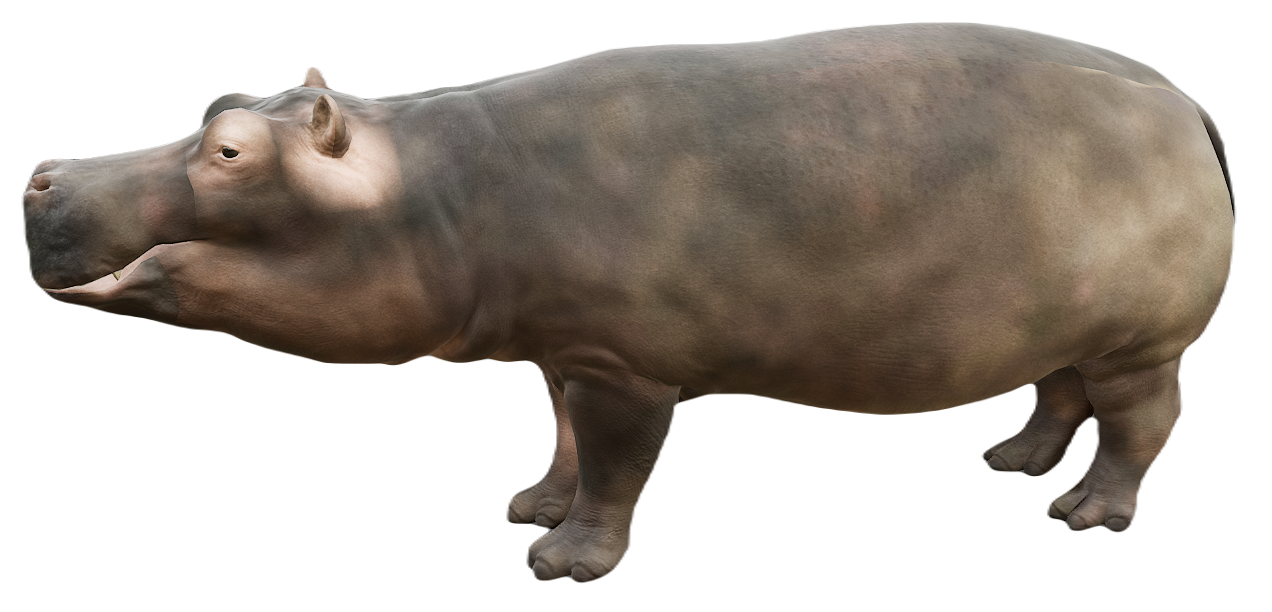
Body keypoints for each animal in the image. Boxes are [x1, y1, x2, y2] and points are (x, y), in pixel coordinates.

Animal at [23, 23, 1233, 582]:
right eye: (220, 101)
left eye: (230, 151)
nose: (42, 173)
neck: (428, 182)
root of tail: (1183, 100)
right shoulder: (561, 347)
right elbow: (559, 440)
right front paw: (530, 507)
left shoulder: (625, 366)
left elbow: (614, 464)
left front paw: (563, 562)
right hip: (1065, 316)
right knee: (1058, 391)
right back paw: (1011, 464)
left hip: (1145, 339)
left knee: (1141, 423)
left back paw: (1084, 516)